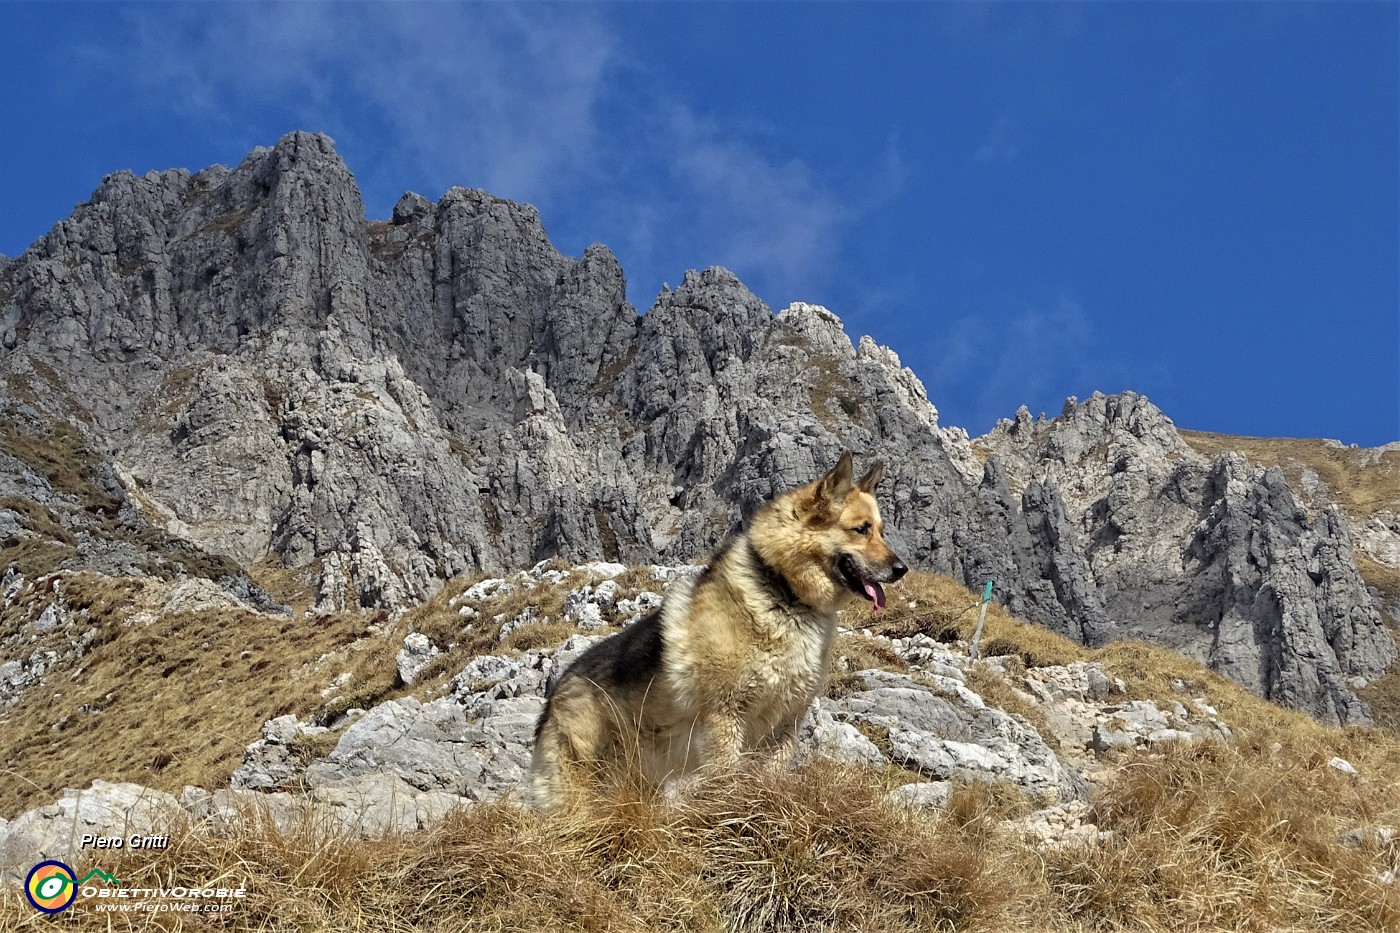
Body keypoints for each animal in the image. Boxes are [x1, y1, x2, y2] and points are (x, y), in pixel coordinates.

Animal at [526, 451, 907, 806]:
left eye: (881, 531)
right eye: (861, 529)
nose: (902, 569)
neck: (784, 594)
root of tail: (555, 694)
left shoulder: (785, 723)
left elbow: (772, 773)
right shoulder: (724, 718)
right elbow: (727, 776)